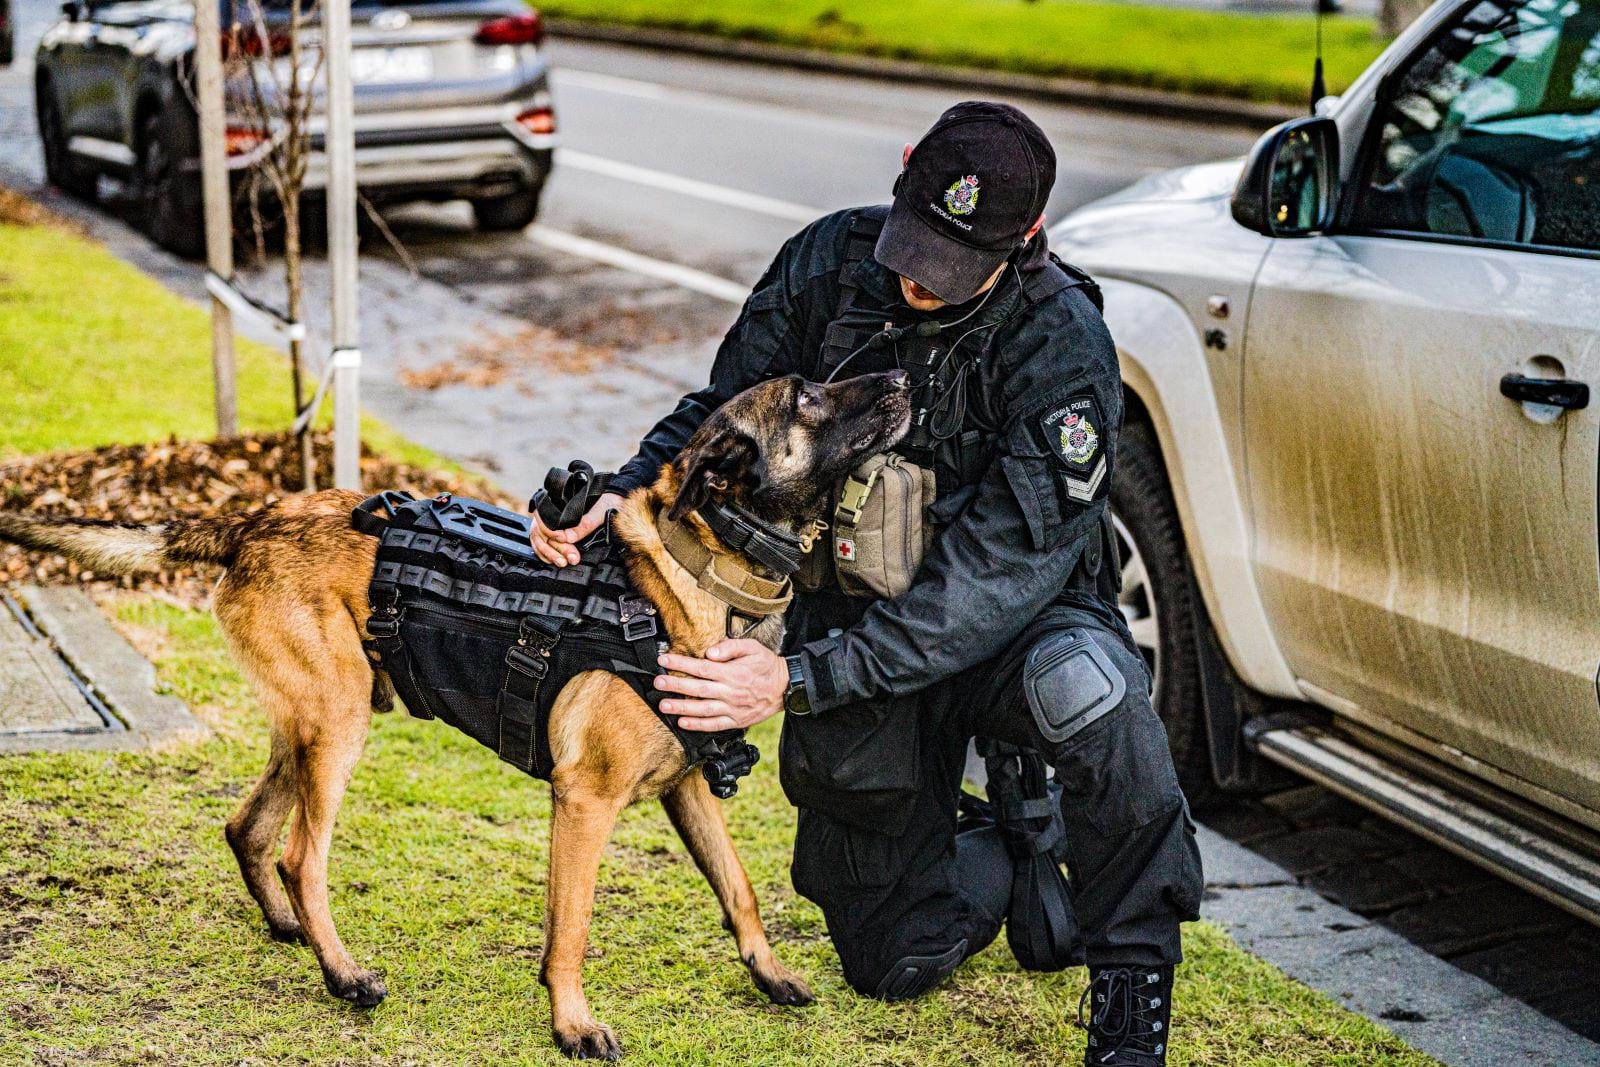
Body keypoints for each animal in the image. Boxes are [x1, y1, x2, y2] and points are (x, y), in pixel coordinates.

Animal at [0, 371, 915, 1055]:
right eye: (807, 396)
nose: (905, 377)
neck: (698, 577)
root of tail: (253, 517)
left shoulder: (686, 784)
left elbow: (740, 889)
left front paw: (769, 973)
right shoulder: (585, 801)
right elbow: (573, 926)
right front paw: (572, 1022)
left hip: (310, 720)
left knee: (247, 827)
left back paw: (293, 932)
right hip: (337, 726)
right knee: (299, 854)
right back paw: (343, 973)